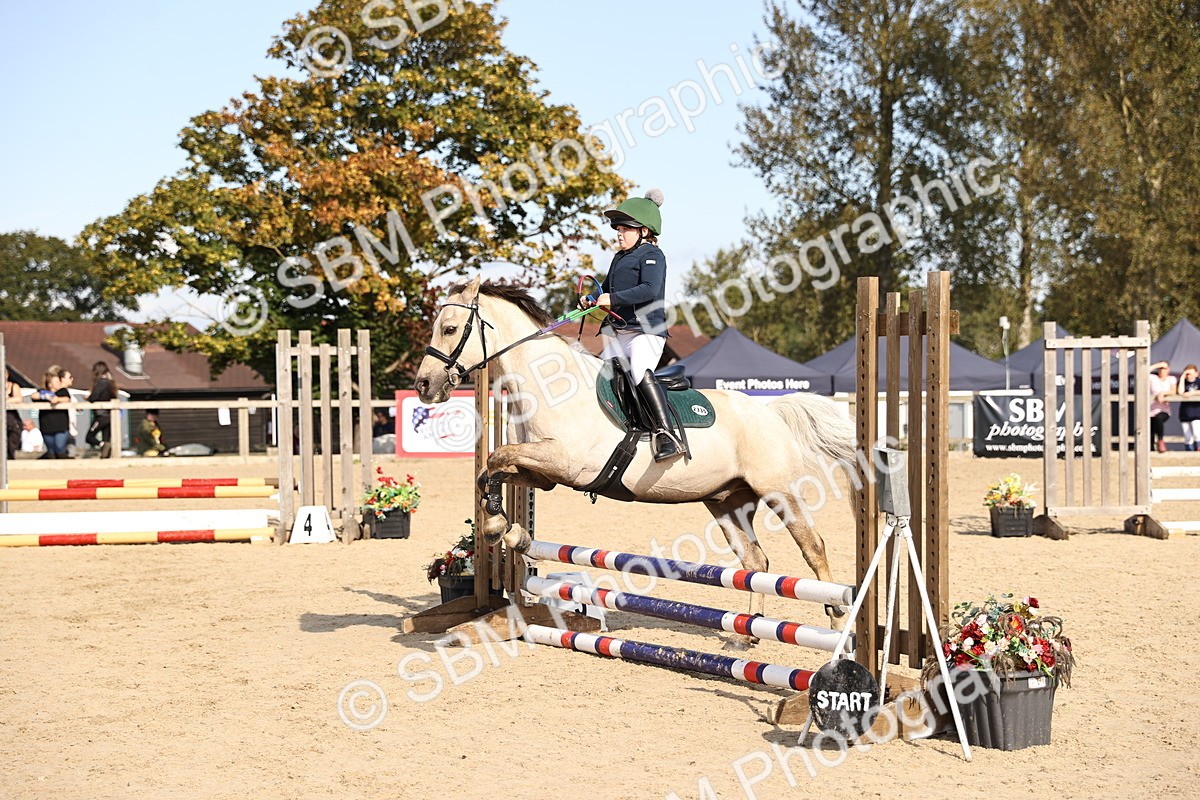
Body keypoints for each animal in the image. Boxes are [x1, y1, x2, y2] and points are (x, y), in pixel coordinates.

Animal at [414, 277, 857, 645]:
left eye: (449, 329)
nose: (423, 385)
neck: (550, 384)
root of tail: (770, 410)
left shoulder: (564, 462)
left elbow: (495, 457)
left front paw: (497, 528)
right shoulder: (543, 473)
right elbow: (491, 470)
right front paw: (506, 529)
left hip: (778, 490)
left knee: (813, 547)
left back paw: (836, 622)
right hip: (726, 501)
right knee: (754, 561)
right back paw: (745, 636)